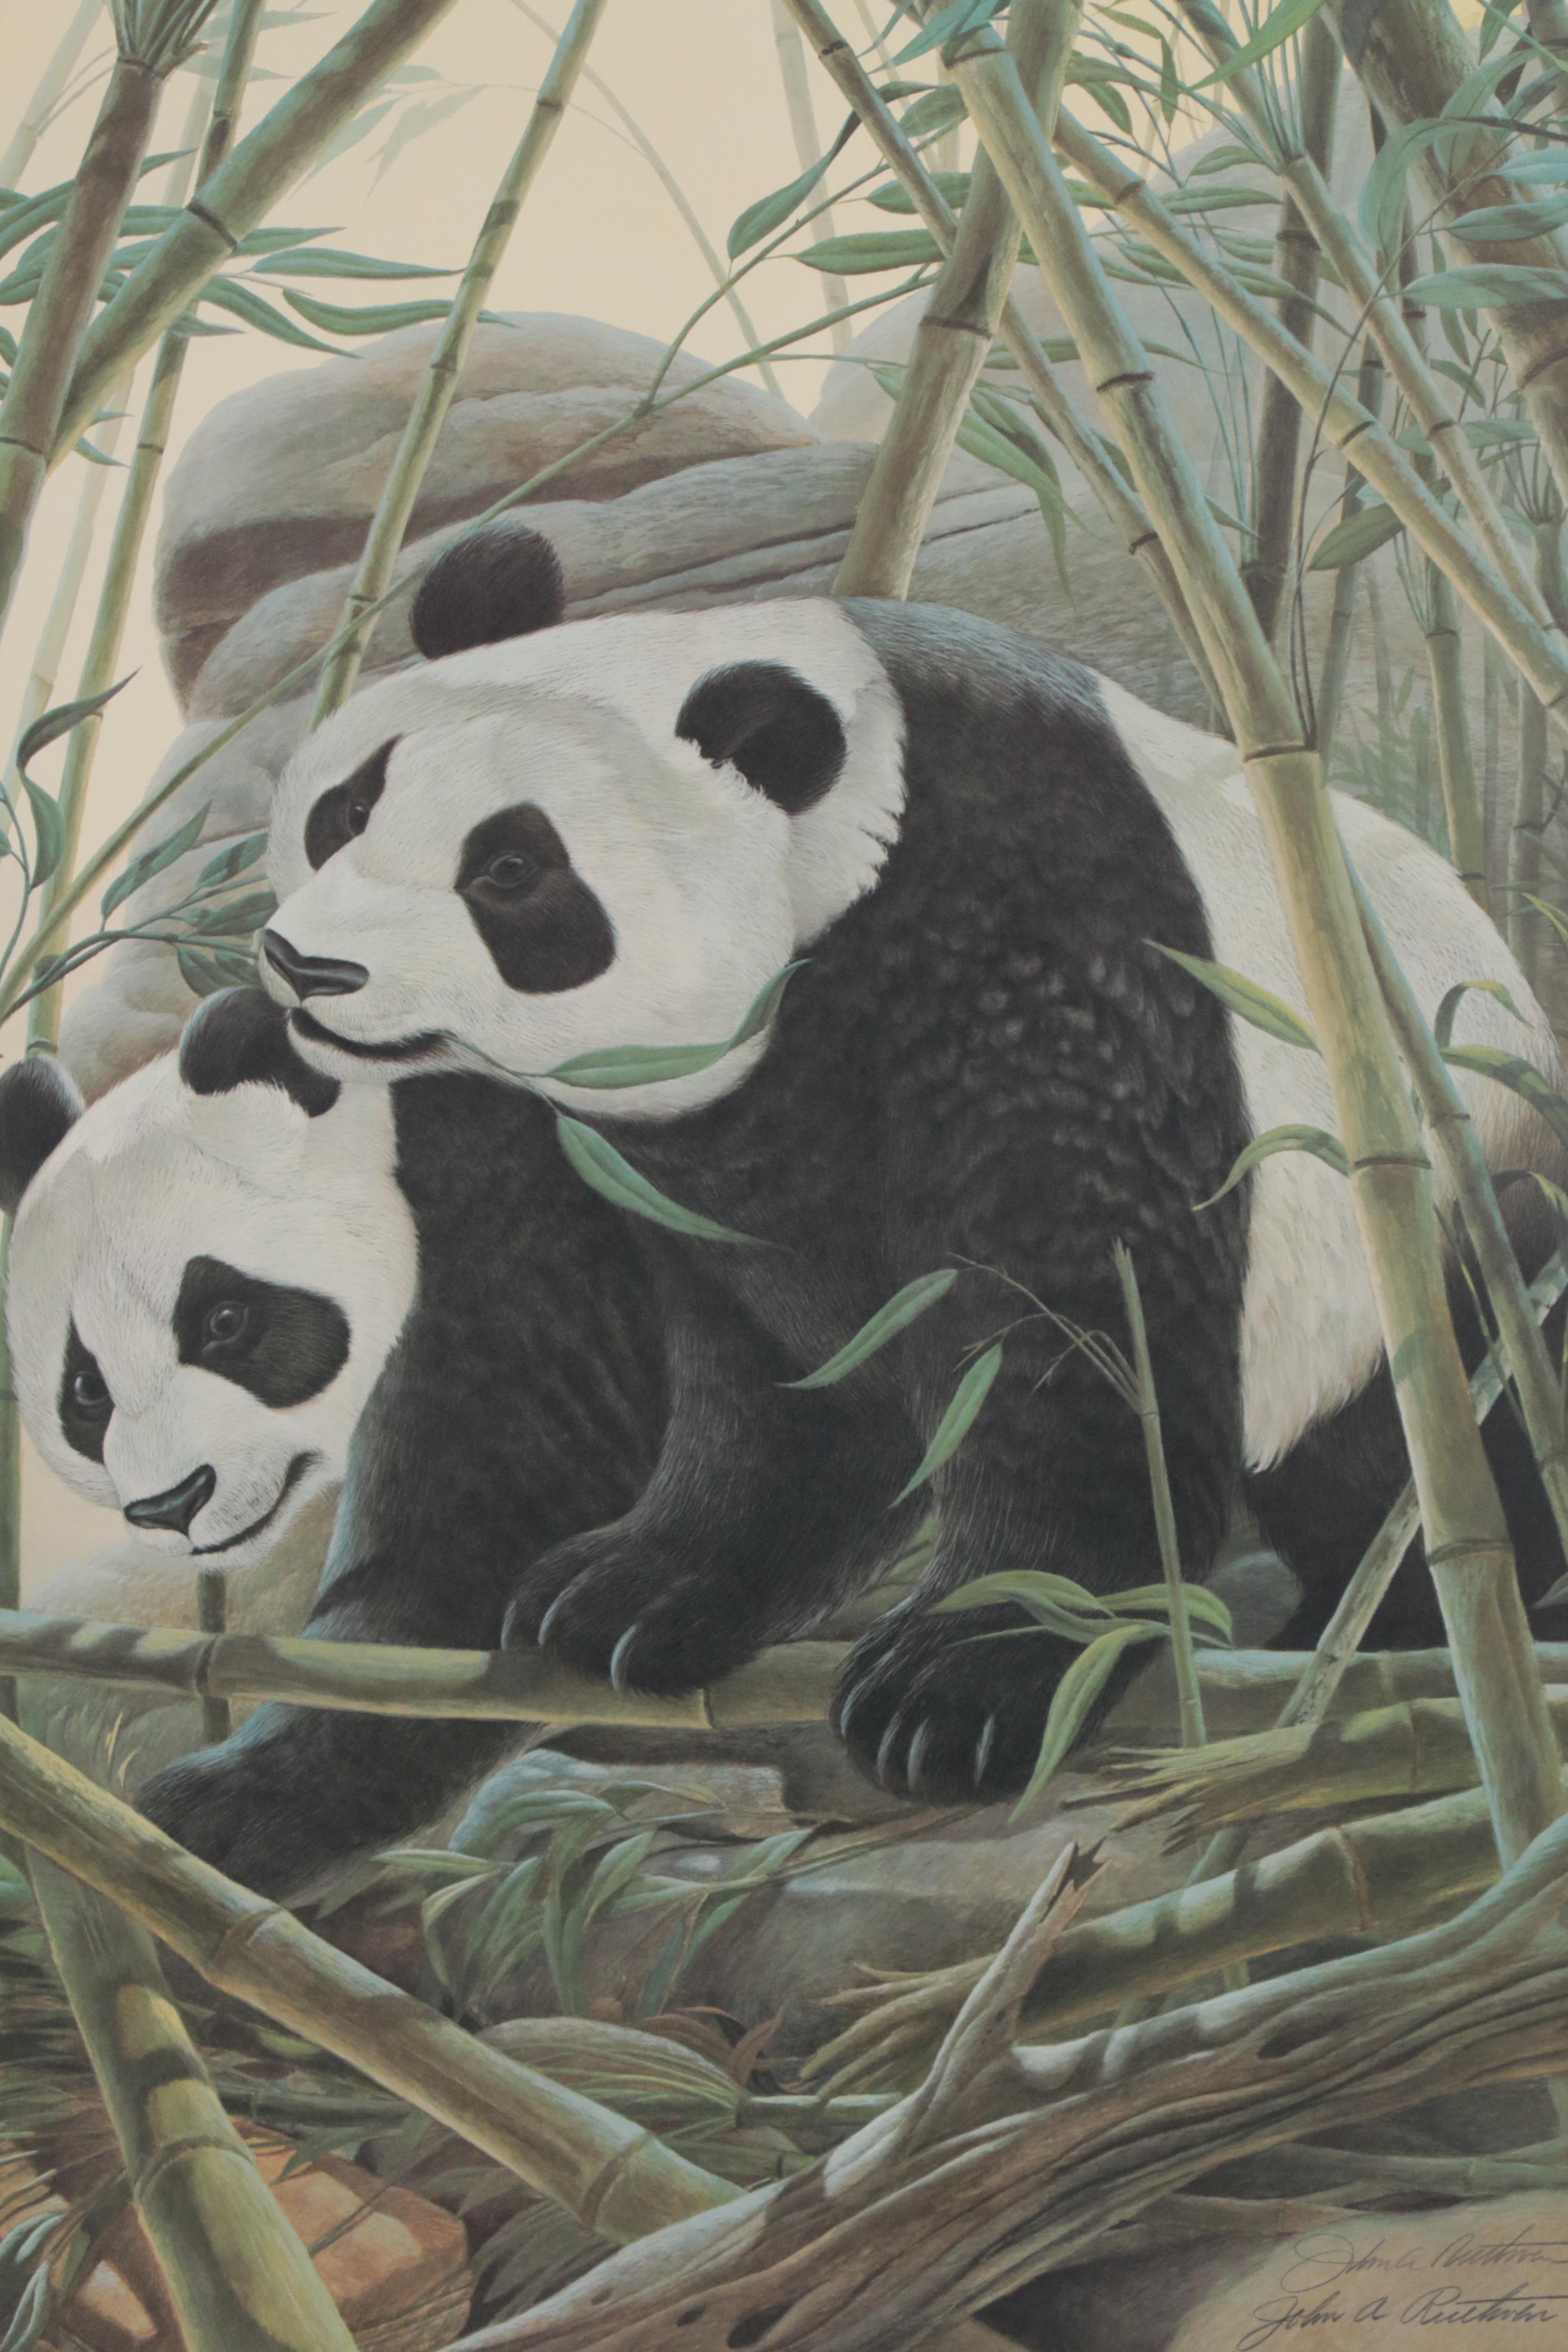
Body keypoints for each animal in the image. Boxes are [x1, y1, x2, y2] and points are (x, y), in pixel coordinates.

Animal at [0, 989, 667, 1896]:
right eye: (85, 1390)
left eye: (224, 1320)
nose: (174, 1503)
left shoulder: (520, 1210)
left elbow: (493, 1528)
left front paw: (225, 1808)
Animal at [256, 520, 1568, 1807]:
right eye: (346, 811)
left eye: (511, 871)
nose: (306, 968)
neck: (857, 855)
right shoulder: (694, 1143)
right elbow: (778, 1379)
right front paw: (629, 1590)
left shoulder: (1053, 947)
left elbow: (1081, 1328)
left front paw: (966, 1677)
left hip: (1456, 1217)